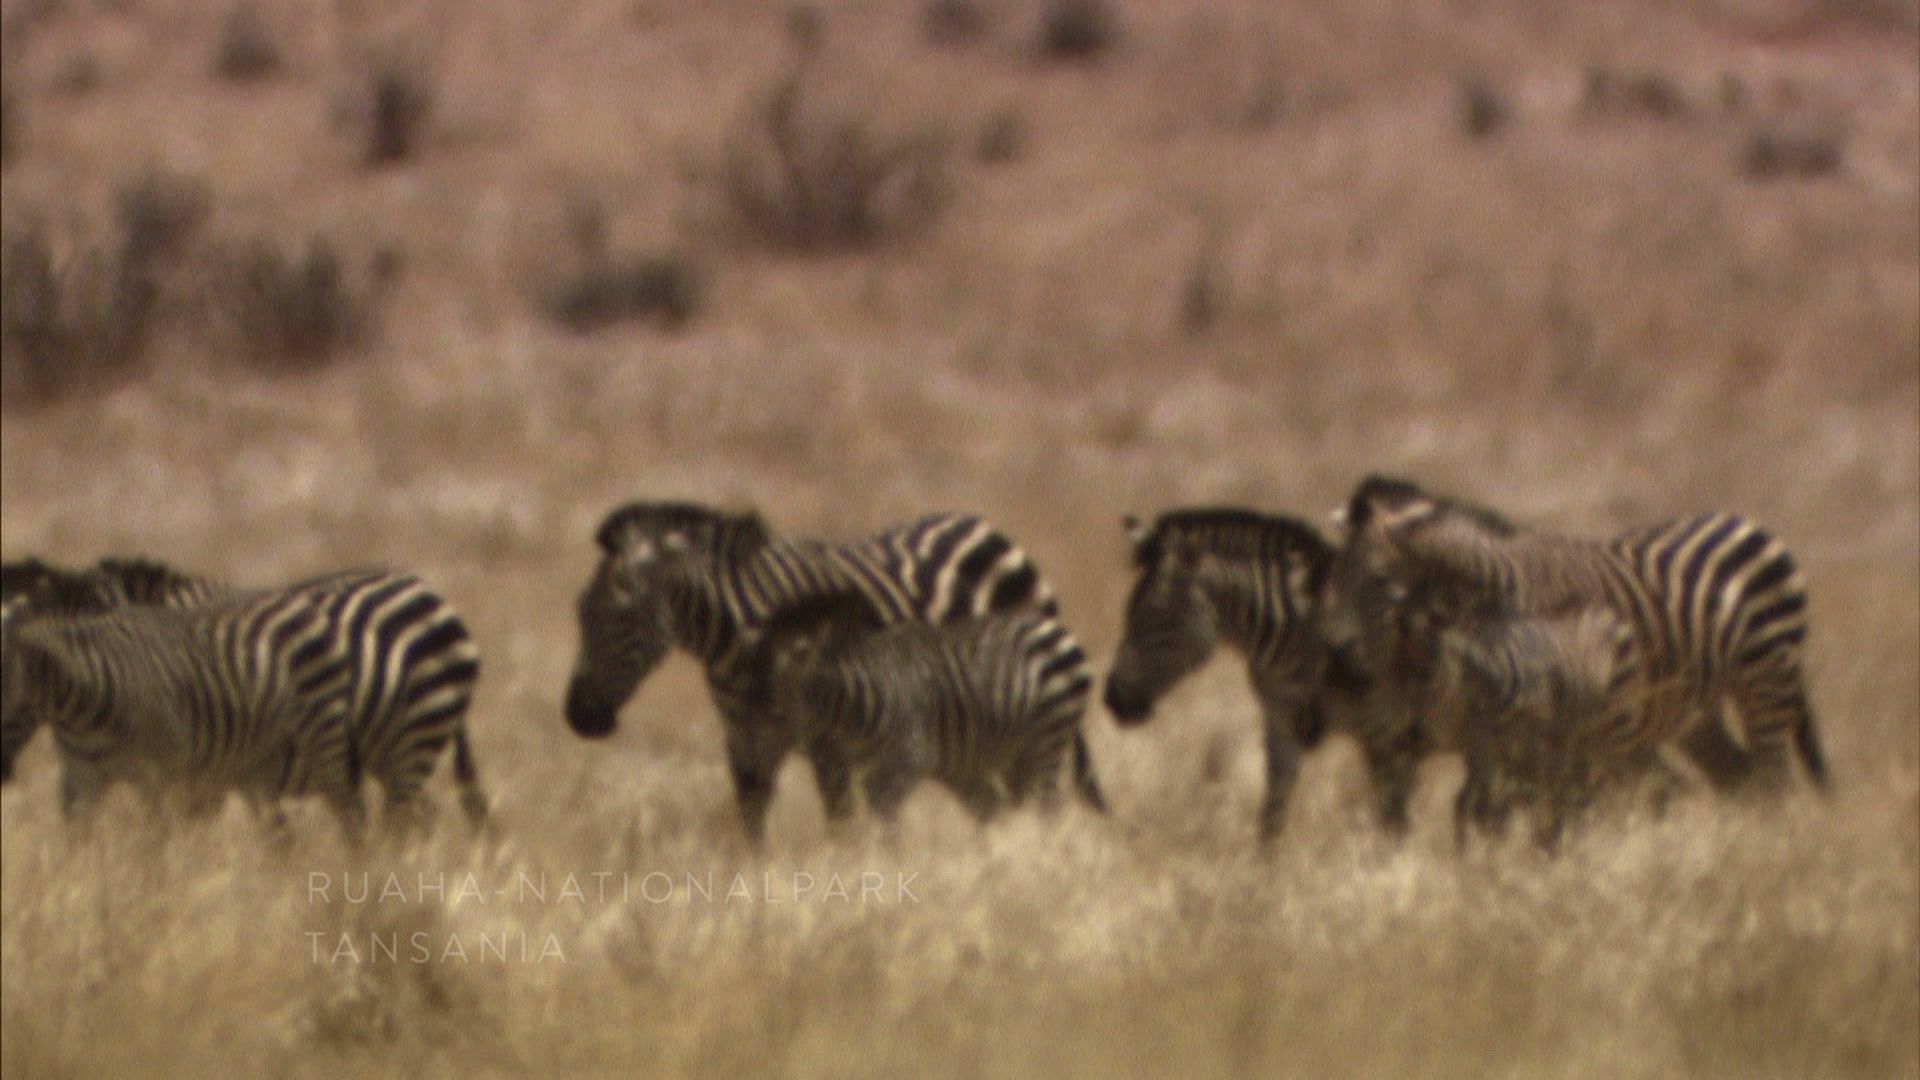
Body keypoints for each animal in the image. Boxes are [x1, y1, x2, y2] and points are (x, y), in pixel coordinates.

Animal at [737, 588, 1098, 814]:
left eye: (800, 655)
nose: (750, 773)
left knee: (1046, 809)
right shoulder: (872, 776)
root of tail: (1054, 627)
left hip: (1048, 739)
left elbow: (886, 837)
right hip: (1016, 758)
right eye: (758, 660)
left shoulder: (902, 766)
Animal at [1105, 503, 1374, 841]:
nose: (1113, 699)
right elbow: (1273, 810)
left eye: (1159, 617)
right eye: (1128, 614)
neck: (1301, 628)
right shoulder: (1279, 716)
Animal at [1328, 470, 1820, 799]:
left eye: (1378, 581)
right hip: (1697, 715)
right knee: (1737, 777)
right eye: (1335, 579)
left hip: (1767, 681)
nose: (1339, 659)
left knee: (1774, 785)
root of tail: (1743, 522)